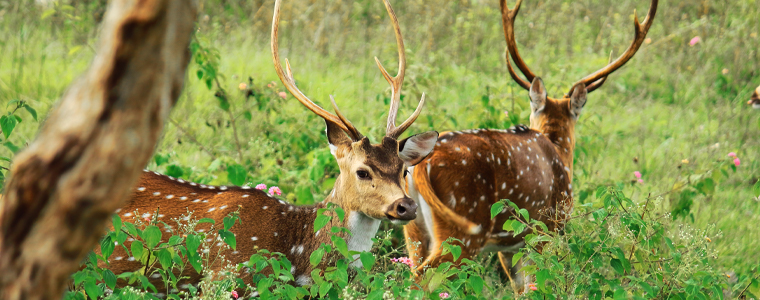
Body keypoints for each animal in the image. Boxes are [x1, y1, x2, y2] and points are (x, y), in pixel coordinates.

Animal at [404, 0, 660, 290]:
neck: (558, 151)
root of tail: (421, 166)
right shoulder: (548, 227)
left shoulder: (509, 246)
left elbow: (519, 287)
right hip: (464, 225)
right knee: (424, 277)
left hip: (414, 230)